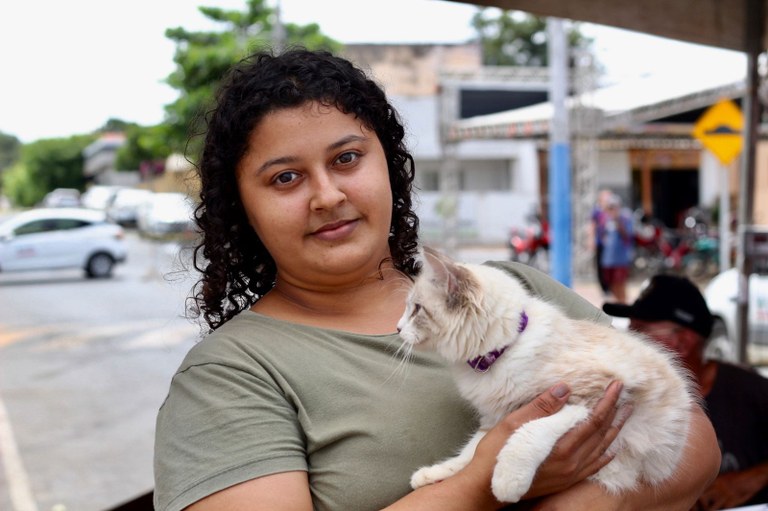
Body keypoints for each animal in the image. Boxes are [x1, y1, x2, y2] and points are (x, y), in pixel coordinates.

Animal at [396, 248, 696, 504]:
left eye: (416, 309)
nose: (398, 328)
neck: (505, 350)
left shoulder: (588, 399)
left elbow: (528, 433)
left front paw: (507, 483)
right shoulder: (495, 418)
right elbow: (470, 453)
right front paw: (433, 473)